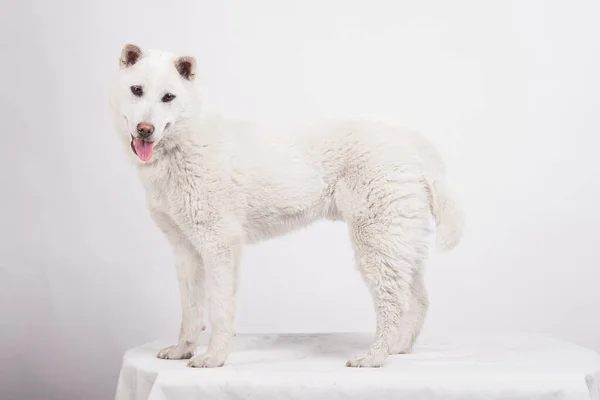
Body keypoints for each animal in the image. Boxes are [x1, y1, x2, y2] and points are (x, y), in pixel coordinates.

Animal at [108, 43, 464, 368]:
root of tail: (411, 138)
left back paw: (375, 357)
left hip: (376, 241)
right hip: (398, 242)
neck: (184, 144)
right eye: (137, 90)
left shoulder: (220, 245)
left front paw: (214, 357)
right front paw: (183, 350)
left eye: (168, 97)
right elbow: (191, 310)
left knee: (393, 304)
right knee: (417, 300)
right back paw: (398, 349)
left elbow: (219, 307)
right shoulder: (185, 251)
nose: (145, 130)